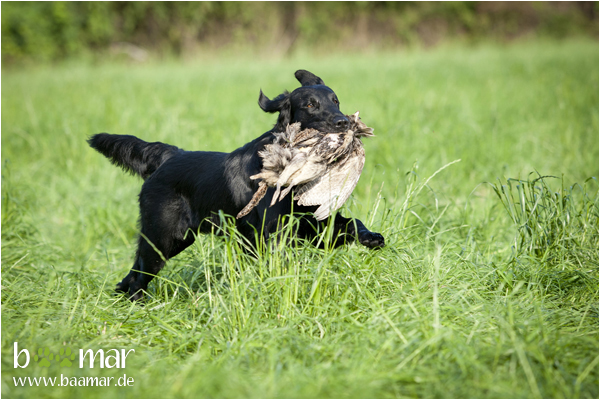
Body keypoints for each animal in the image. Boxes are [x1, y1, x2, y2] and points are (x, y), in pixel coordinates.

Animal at [89, 70, 385, 301]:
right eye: (311, 105)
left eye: (335, 101)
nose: (343, 122)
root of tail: (170, 155)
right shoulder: (272, 235)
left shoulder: (312, 225)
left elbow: (352, 222)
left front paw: (371, 237)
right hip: (162, 236)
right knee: (139, 275)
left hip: (177, 239)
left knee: (130, 275)